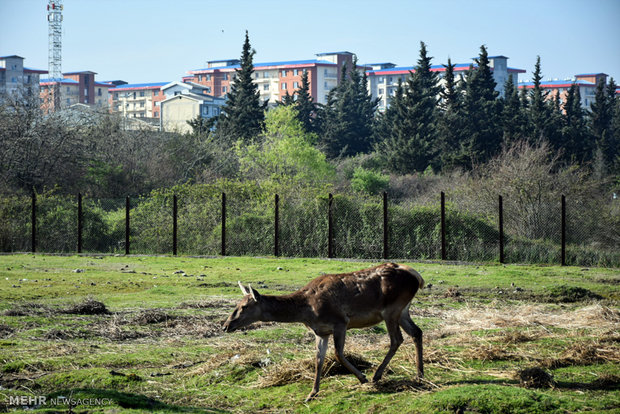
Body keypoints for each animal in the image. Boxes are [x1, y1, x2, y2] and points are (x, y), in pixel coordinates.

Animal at [220, 262, 424, 402]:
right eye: (237, 304)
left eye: (244, 306)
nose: (226, 325)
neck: (307, 311)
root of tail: (417, 276)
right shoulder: (321, 331)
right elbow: (319, 360)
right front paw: (312, 393)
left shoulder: (341, 321)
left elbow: (338, 353)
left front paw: (362, 378)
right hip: (403, 310)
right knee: (417, 332)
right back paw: (419, 374)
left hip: (392, 309)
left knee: (397, 339)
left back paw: (377, 375)